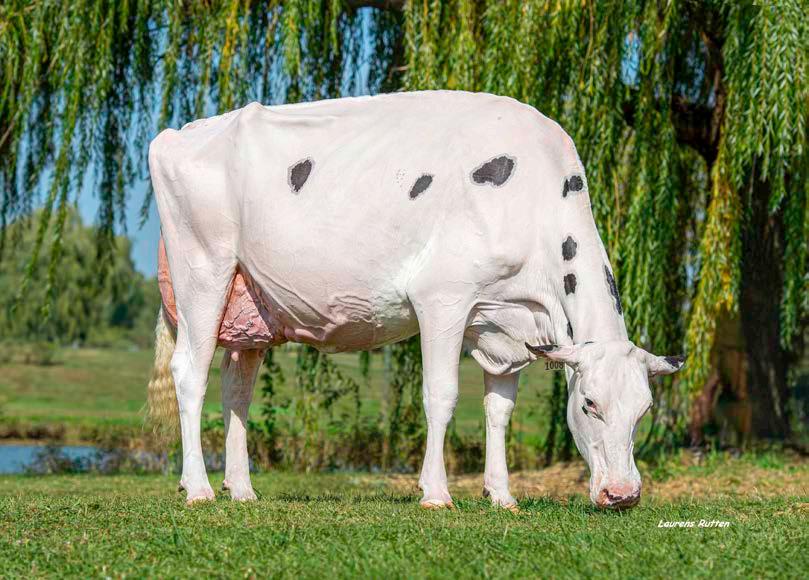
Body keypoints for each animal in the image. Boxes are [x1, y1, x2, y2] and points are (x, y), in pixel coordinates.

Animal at [147, 90, 684, 509]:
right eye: (589, 404)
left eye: (644, 410)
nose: (623, 495)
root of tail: (178, 132)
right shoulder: (442, 297)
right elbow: (441, 395)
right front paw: (436, 493)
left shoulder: (507, 326)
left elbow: (499, 410)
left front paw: (501, 495)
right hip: (204, 271)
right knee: (189, 372)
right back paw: (198, 489)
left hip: (249, 307)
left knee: (236, 389)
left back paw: (241, 490)